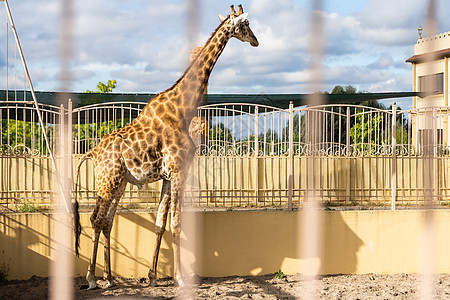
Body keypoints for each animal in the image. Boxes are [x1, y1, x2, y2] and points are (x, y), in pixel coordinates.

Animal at [72, 4, 258, 290]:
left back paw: (110, 278)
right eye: (246, 24)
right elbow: (177, 223)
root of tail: (92, 153)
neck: (181, 109)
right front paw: (180, 278)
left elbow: (160, 224)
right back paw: (92, 278)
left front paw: (151, 277)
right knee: (95, 219)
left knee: (107, 221)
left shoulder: (168, 177)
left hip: (120, 183)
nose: (256, 41)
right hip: (107, 181)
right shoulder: (180, 171)